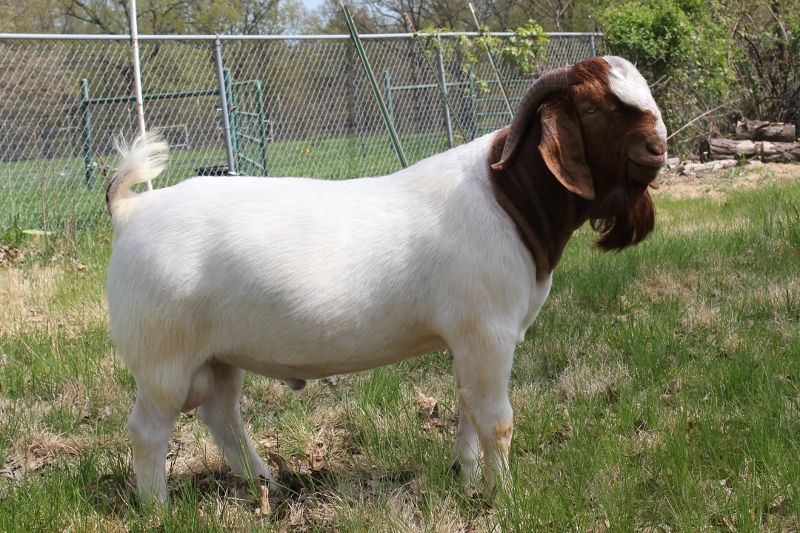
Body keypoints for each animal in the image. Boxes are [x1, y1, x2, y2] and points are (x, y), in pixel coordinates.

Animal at [108, 55, 668, 502]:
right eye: (593, 108)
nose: (657, 148)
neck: (509, 199)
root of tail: (132, 211)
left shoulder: (467, 341)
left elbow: (467, 409)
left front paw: (467, 479)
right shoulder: (488, 332)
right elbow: (496, 419)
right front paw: (506, 496)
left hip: (219, 357)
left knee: (222, 418)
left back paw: (266, 483)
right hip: (163, 358)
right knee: (148, 429)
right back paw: (158, 507)